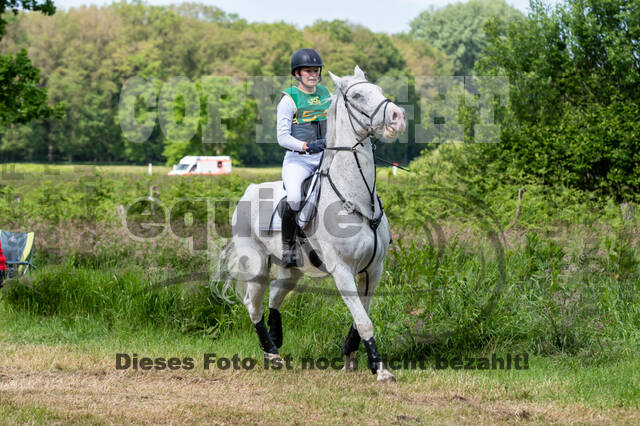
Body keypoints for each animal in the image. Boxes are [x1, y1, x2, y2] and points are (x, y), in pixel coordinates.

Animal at [222, 66, 406, 382]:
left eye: (379, 90)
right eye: (358, 95)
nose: (398, 116)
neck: (358, 199)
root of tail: (249, 191)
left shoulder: (373, 270)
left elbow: (361, 317)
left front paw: (350, 357)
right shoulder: (342, 270)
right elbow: (364, 321)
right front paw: (381, 370)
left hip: (292, 269)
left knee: (275, 296)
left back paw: (277, 339)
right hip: (256, 265)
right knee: (253, 305)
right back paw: (272, 353)